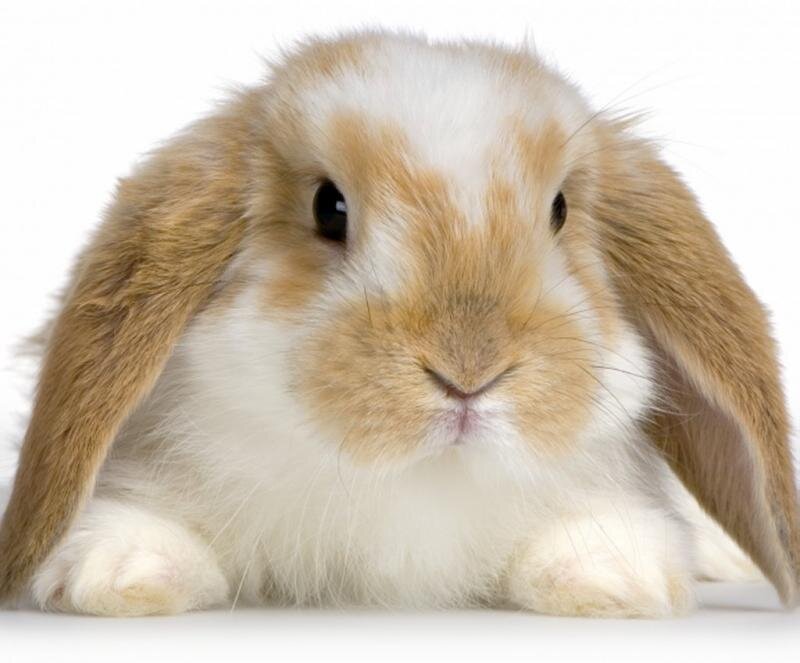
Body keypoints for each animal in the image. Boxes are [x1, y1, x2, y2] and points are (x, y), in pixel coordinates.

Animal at [0, 30, 795, 618]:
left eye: (561, 210)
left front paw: (610, 576)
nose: (469, 371)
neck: (415, 480)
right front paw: (122, 571)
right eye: (328, 207)